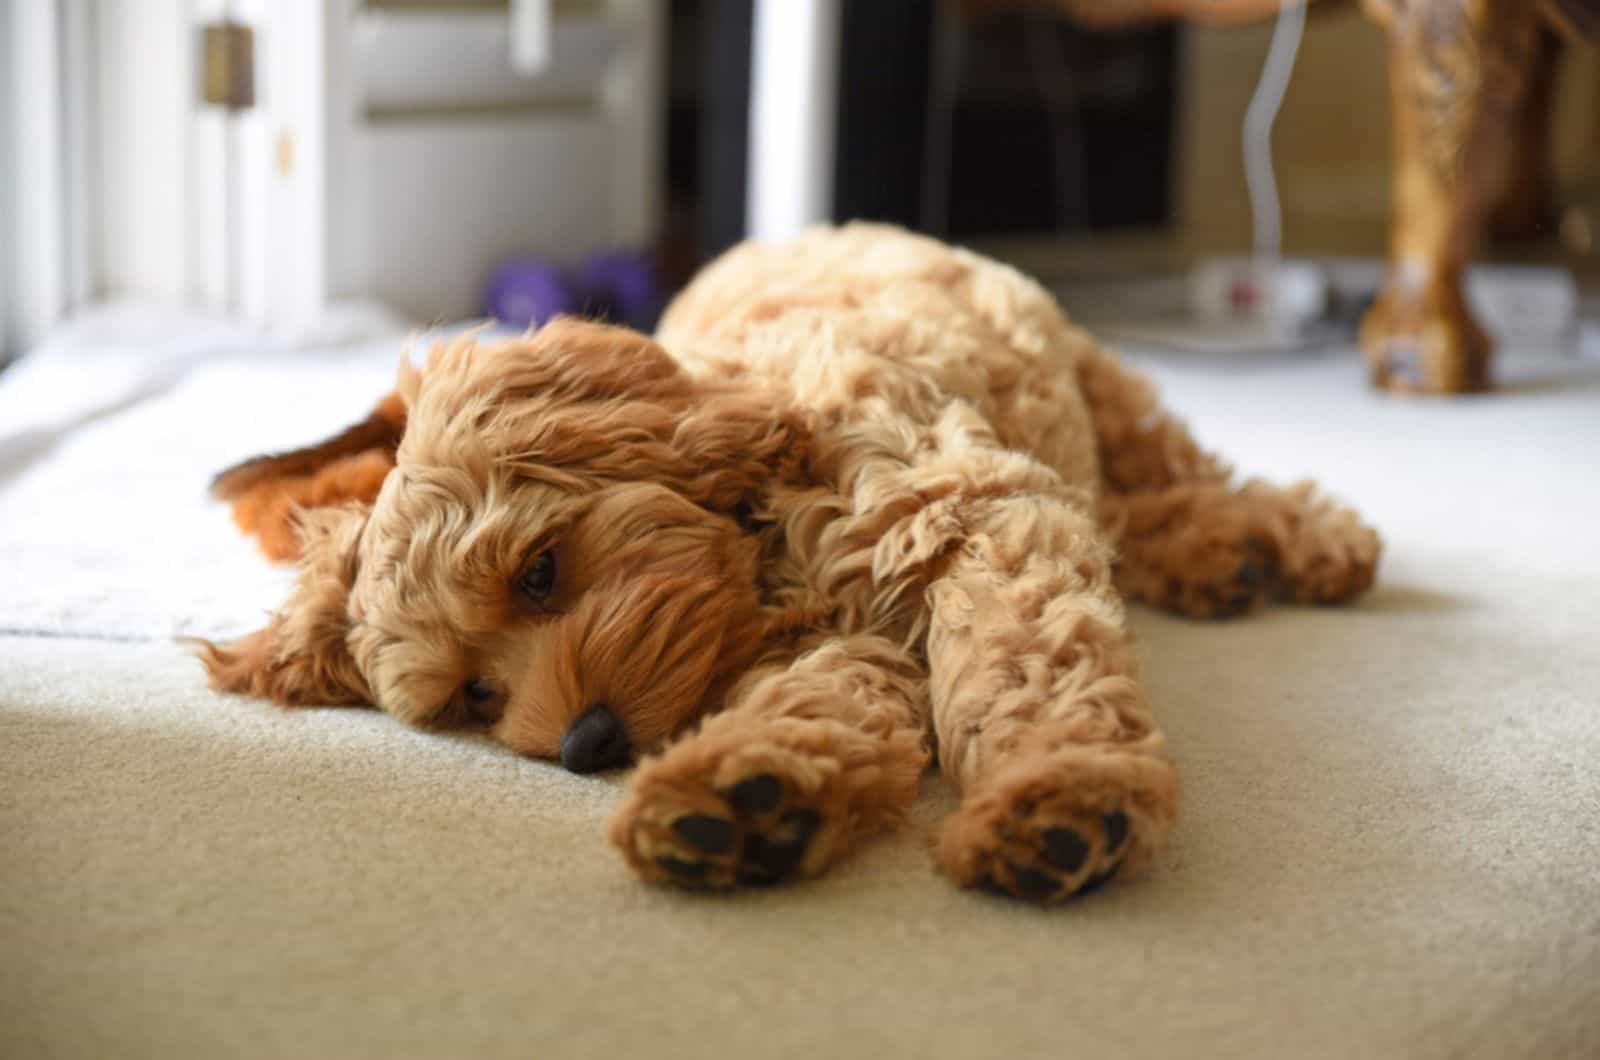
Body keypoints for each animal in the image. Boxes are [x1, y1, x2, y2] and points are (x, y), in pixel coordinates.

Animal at [196, 224, 1376, 903]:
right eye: (474, 696)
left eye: (537, 571)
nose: (584, 745)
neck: (768, 551)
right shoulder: (836, 641)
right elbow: (832, 702)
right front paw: (749, 797)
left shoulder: (976, 519)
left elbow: (1031, 672)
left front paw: (1062, 796)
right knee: (1130, 506)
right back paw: (1217, 554)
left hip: (1090, 372)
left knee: (1165, 462)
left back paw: (1291, 536)